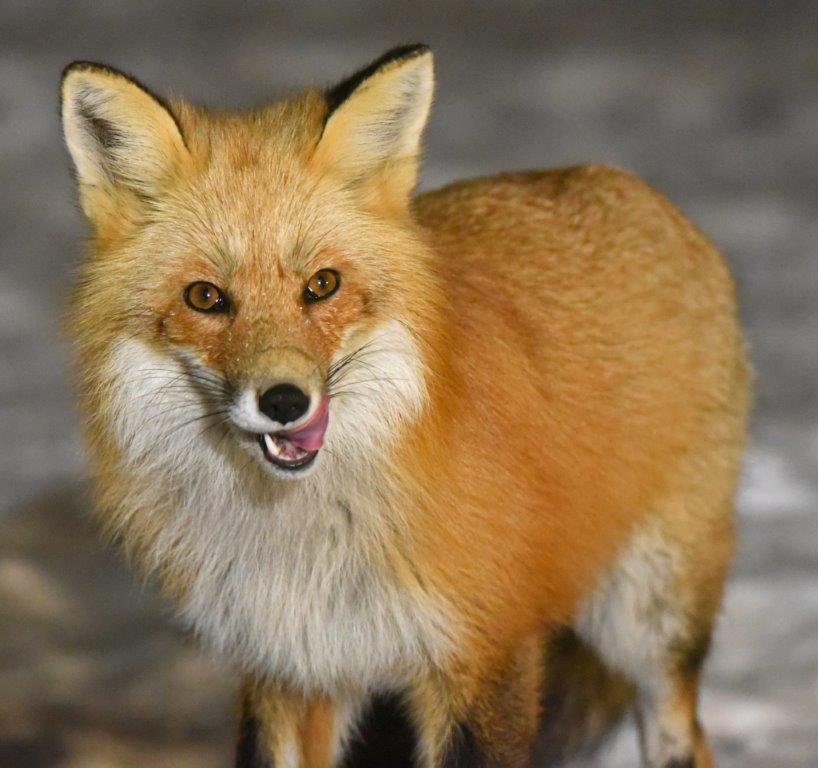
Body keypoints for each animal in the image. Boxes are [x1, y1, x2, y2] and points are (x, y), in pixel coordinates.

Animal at [61, 44, 749, 768]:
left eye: (322, 285)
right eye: (205, 297)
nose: (285, 401)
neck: (307, 537)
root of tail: (626, 183)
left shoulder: (485, 652)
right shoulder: (291, 665)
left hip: (651, 617)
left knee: (680, 729)